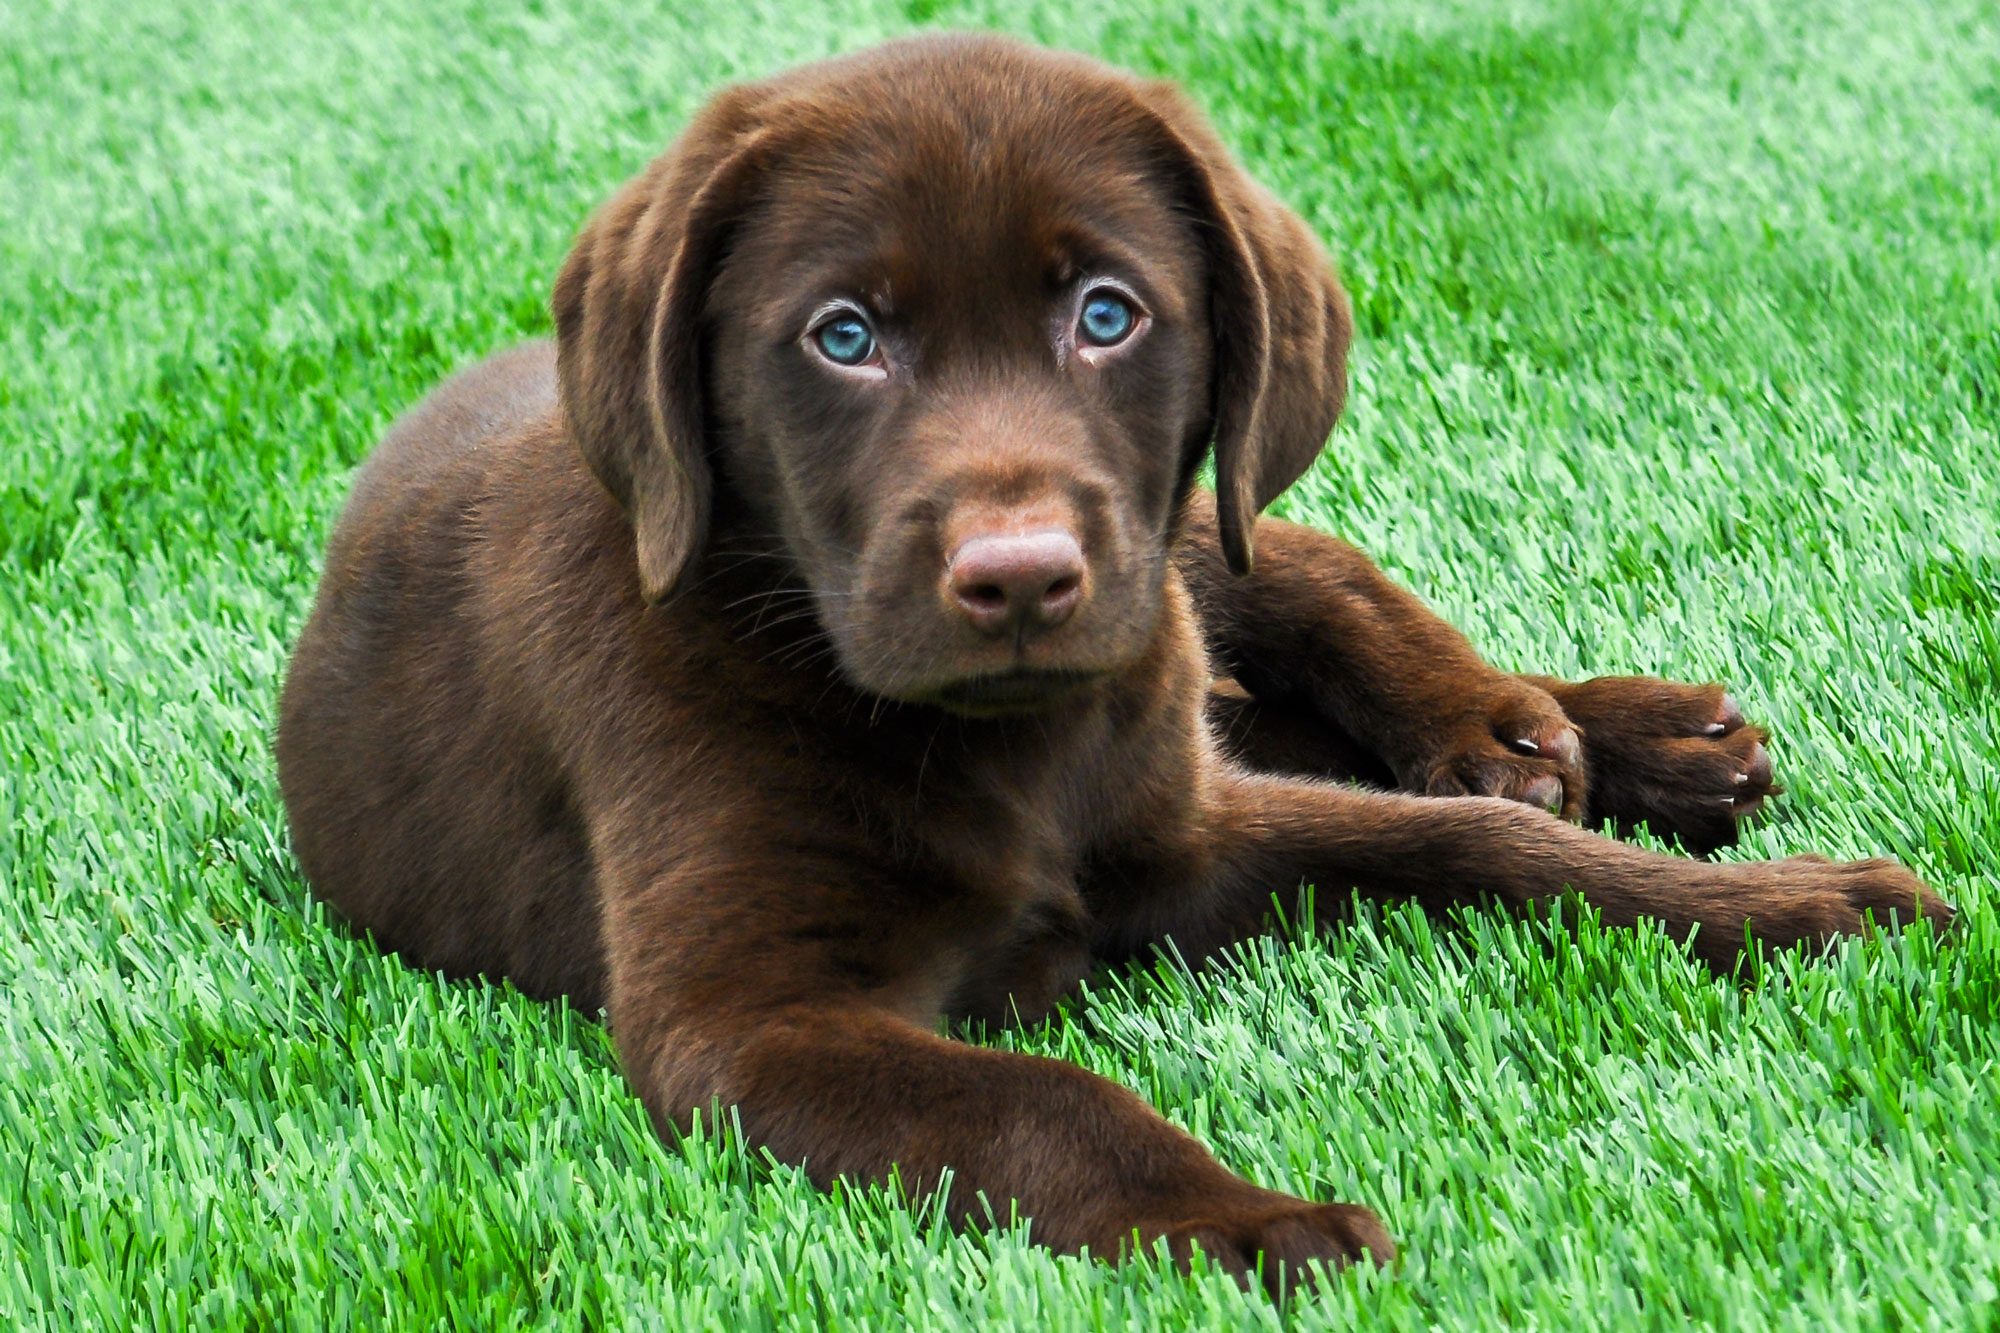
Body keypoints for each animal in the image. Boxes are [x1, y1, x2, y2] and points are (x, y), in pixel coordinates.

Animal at [274, 36, 1944, 1288]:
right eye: (842, 336)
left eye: (1104, 315)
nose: (1019, 576)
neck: (1003, 741)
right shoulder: (747, 1015)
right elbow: (1048, 1101)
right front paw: (1253, 1222)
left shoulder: (1184, 824)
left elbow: (1477, 844)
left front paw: (1805, 908)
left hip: (1183, 552)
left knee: (1301, 574)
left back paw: (1566, 728)